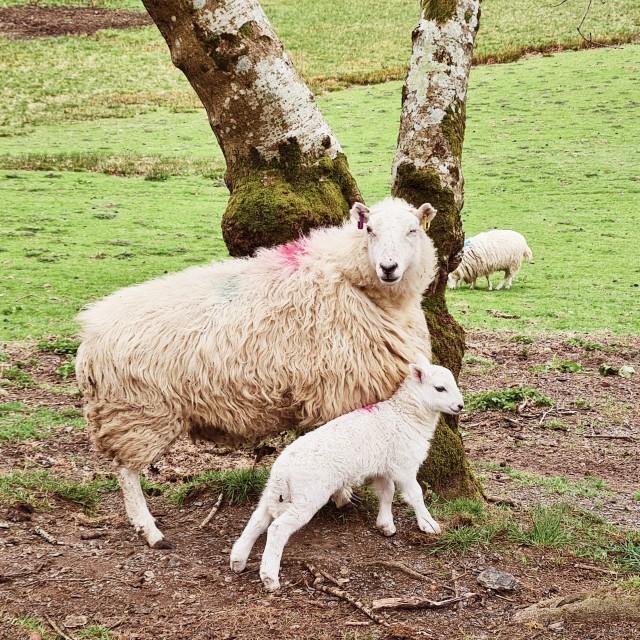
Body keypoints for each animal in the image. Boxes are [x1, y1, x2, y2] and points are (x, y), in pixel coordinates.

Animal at [75, 197, 438, 548]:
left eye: (412, 231)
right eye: (371, 230)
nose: (388, 268)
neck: (351, 280)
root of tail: (88, 336)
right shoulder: (340, 392)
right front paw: (343, 495)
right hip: (139, 412)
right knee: (127, 472)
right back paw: (150, 530)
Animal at [230, 356, 464, 591]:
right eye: (440, 388)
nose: (460, 406)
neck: (405, 415)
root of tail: (282, 471)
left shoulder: (382, 467)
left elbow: (386, 493)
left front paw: (386, 525)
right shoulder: (404, 464)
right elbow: (415, 494)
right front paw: (428, 524)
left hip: (273, 492)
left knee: (258, 519)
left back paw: (238, 560)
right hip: (307, 495)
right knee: (277, 528)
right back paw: (269, 577)